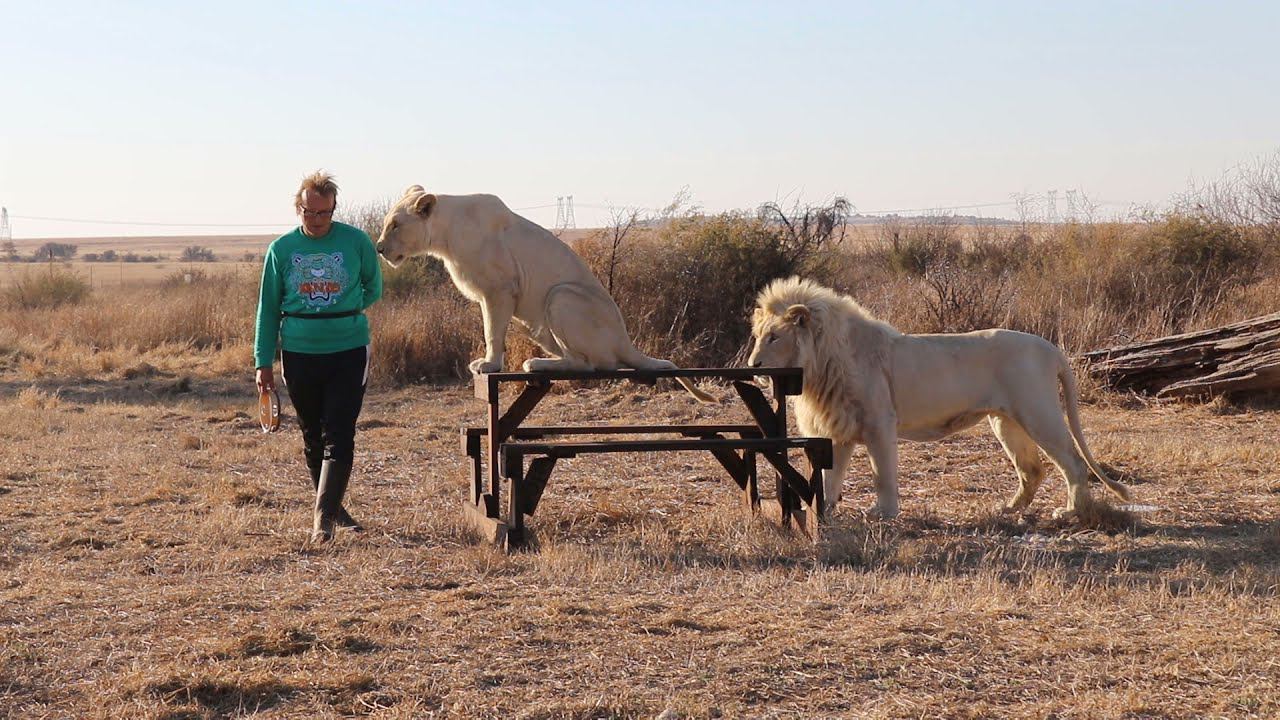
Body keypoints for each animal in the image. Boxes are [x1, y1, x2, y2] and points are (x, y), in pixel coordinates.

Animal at [375, 187, 714, 401]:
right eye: (387, 224)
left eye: (395, 225)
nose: (378, 248)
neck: (445, 236)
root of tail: (626, 342)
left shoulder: (500, 288)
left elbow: (491, 332)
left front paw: (489, 365)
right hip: (535, 323)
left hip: (560, 296)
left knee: (589, 364)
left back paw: (536, 364)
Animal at [747, 276, 1129, 519]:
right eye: (758, 336)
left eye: (775, 337)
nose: (752, 365)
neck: (820, 365)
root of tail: (1052, 349)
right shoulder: (839, 428)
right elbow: (830, 477)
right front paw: (824, 512)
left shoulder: (879, 423)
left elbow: (882, 472)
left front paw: (884, 513)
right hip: (1006, 420)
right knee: (1032, 469)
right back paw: (1008, 509)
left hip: (1038, 413)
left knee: (1073, 462)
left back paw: (1071, 512)